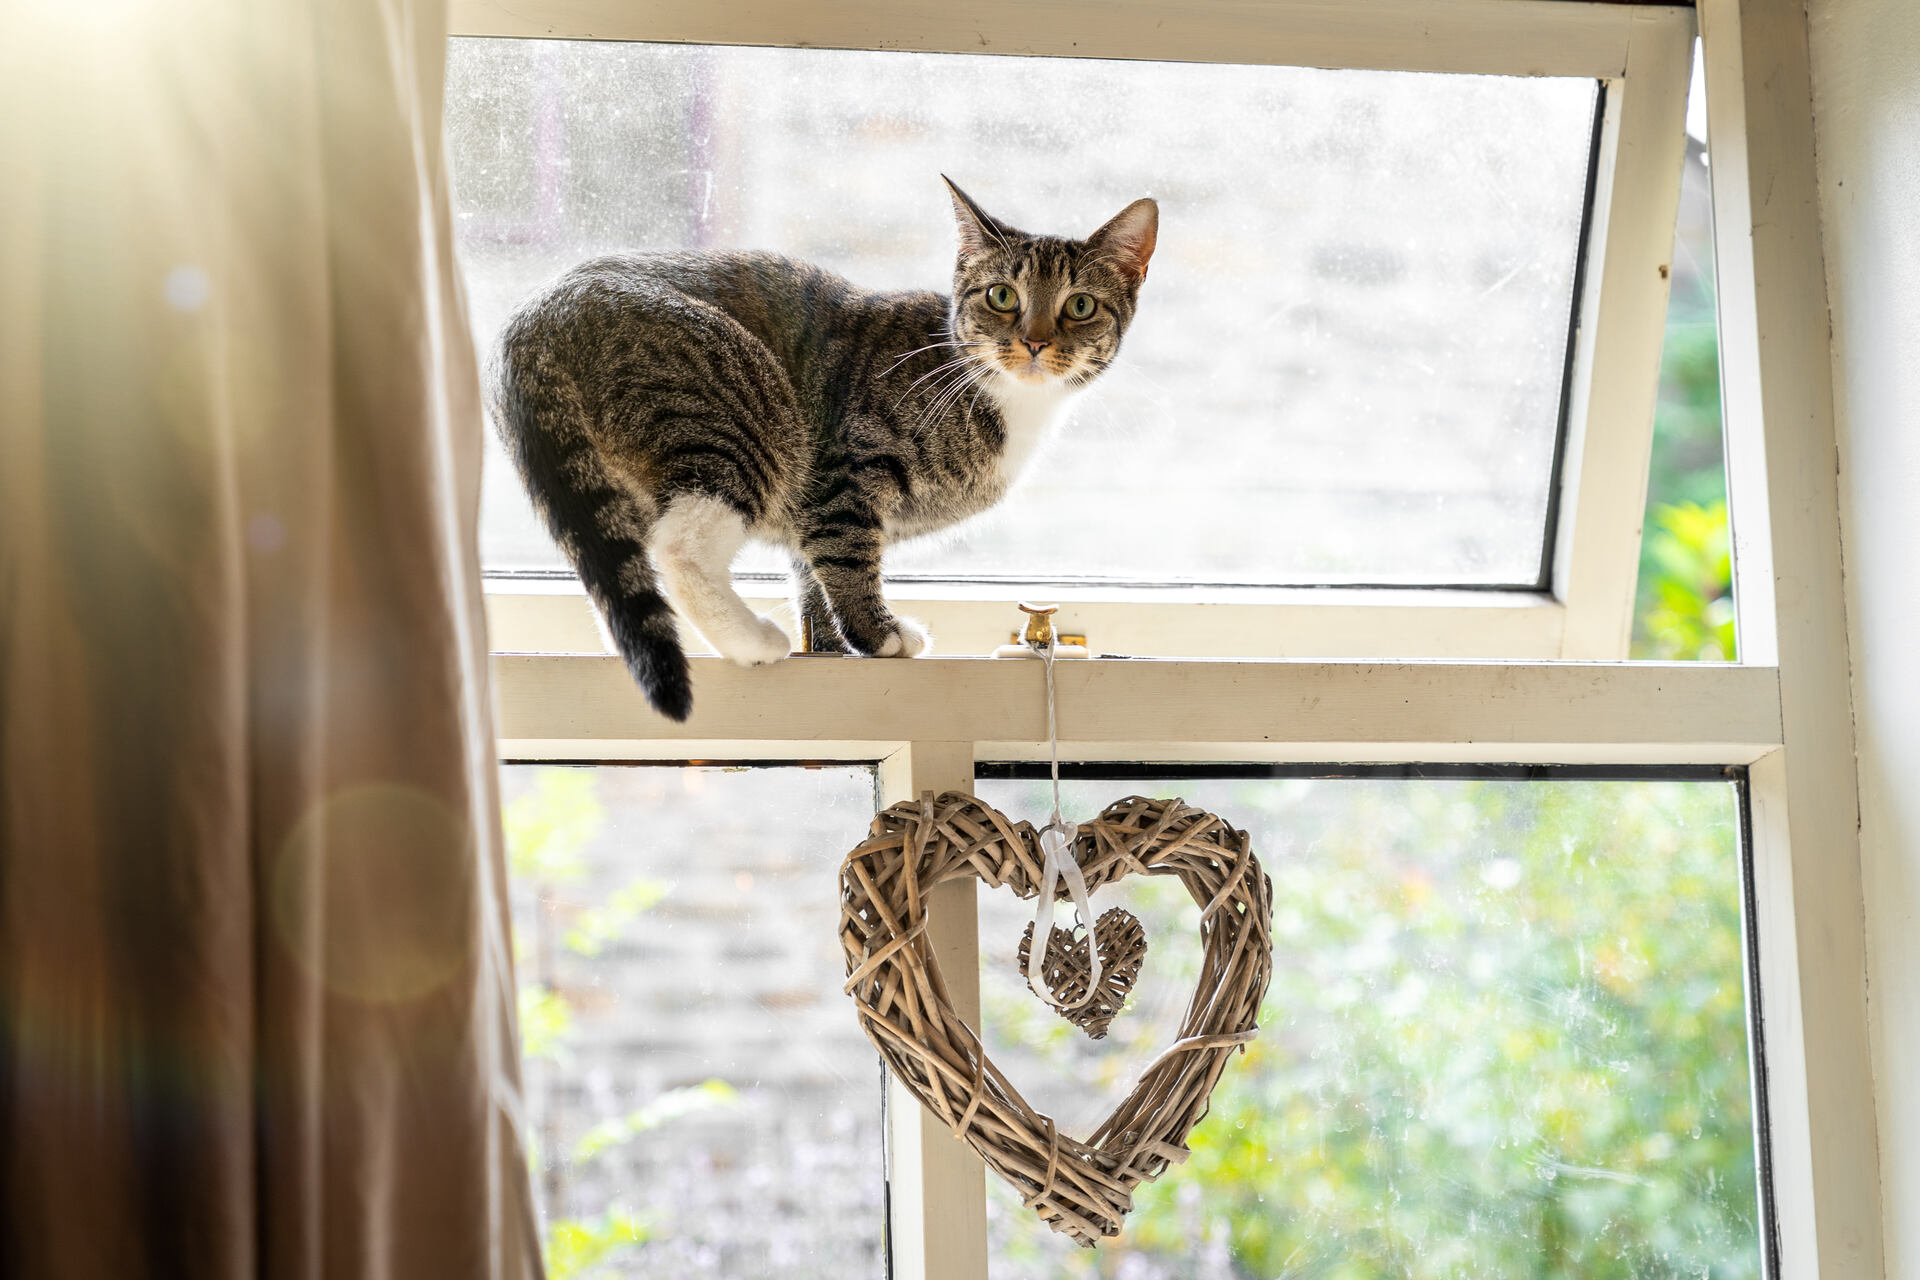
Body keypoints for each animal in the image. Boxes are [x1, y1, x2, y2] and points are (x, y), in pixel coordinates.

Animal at [491, 179, 1152, 721]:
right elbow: (848, 552)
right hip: (740, 409)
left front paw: (829, 642)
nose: (1034, 342)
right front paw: (877, 636)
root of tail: (539, 312)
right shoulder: (846, 467)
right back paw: (751, 640)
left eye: (1080, 305)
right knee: (680, 546)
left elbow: (811, 567)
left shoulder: (807, 509)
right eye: (1001, 296)